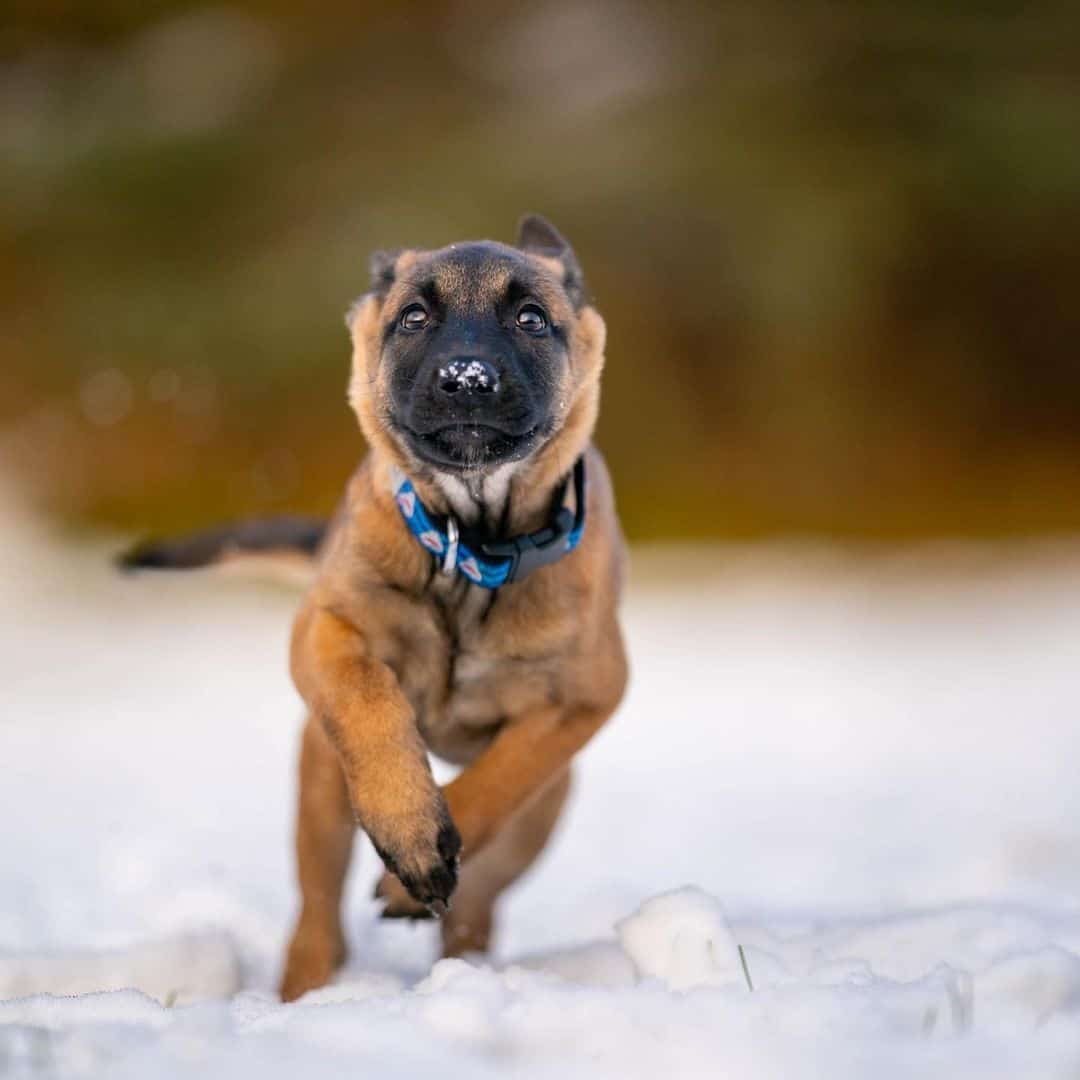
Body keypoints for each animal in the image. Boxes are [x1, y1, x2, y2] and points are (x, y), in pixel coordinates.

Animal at [125, 214, 630, 997]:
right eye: (413, 319)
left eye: (531, 319)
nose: (466, 379)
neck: (468, 547)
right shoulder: (326, 629)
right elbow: (368, 705)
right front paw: (412, 834)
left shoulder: (587, 694)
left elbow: (505, 773)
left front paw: (415, 869)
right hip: (320, 787)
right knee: (317, 913)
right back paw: (304, 993)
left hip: (538, 818)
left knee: (475, 904)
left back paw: (453, 956)